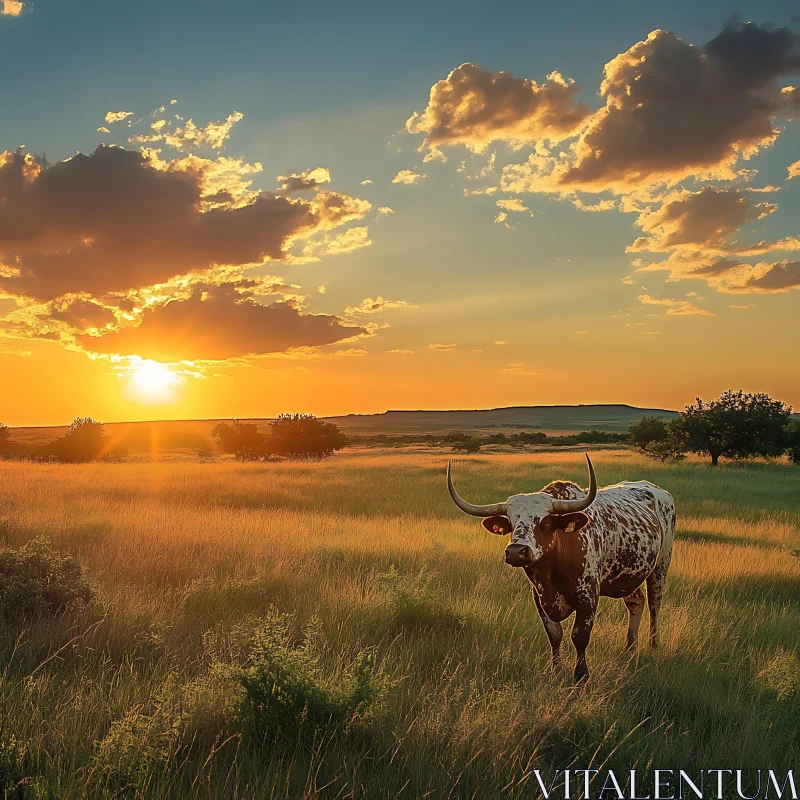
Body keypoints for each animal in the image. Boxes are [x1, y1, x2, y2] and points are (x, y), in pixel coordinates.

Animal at [446, 456, 672, 680]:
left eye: (545, 522)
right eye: (511, 522)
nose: (516, 552)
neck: (551, 573)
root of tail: (659, 491)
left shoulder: (589, 594)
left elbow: (579, 636)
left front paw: (581, 676)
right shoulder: (539, 596)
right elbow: (554, 634)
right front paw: (555, 668)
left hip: (660, 566)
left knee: (654, 605)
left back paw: (653, 646)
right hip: (630, 575)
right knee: (636, 602)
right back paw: (630, 648)